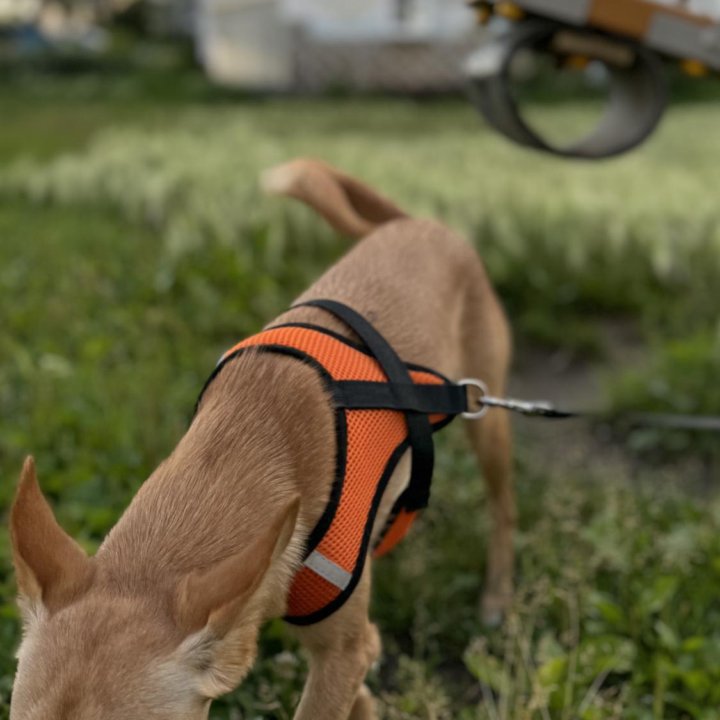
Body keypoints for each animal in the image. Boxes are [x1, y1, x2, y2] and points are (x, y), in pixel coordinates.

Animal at [5, 159, 512, 720]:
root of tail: (419, 223)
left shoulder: (341, 651)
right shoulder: (345, 652)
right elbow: (361, 683)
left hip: (487, 417)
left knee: (503, 507)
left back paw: (497, 595)